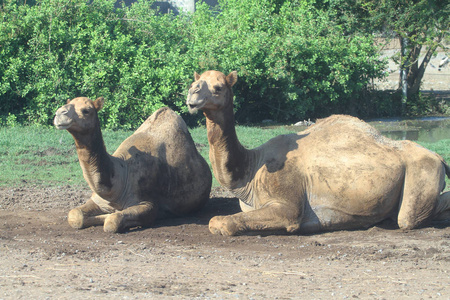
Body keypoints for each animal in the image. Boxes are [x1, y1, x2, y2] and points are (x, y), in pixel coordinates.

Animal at [53, 97, 212, 233]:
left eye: (86, 110)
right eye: (69, 103)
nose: (59, 113)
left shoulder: (146, 203)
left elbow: (112, 221)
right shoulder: (99, 200)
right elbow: (75, 215)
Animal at [185, 71, 450, 237]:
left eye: (218, 87)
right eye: (195, 82)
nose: (191, 95)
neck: (250, 170)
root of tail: (439, 158)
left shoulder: (288, 204)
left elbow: (220, 221)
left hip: (423, 172)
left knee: (409, 218)